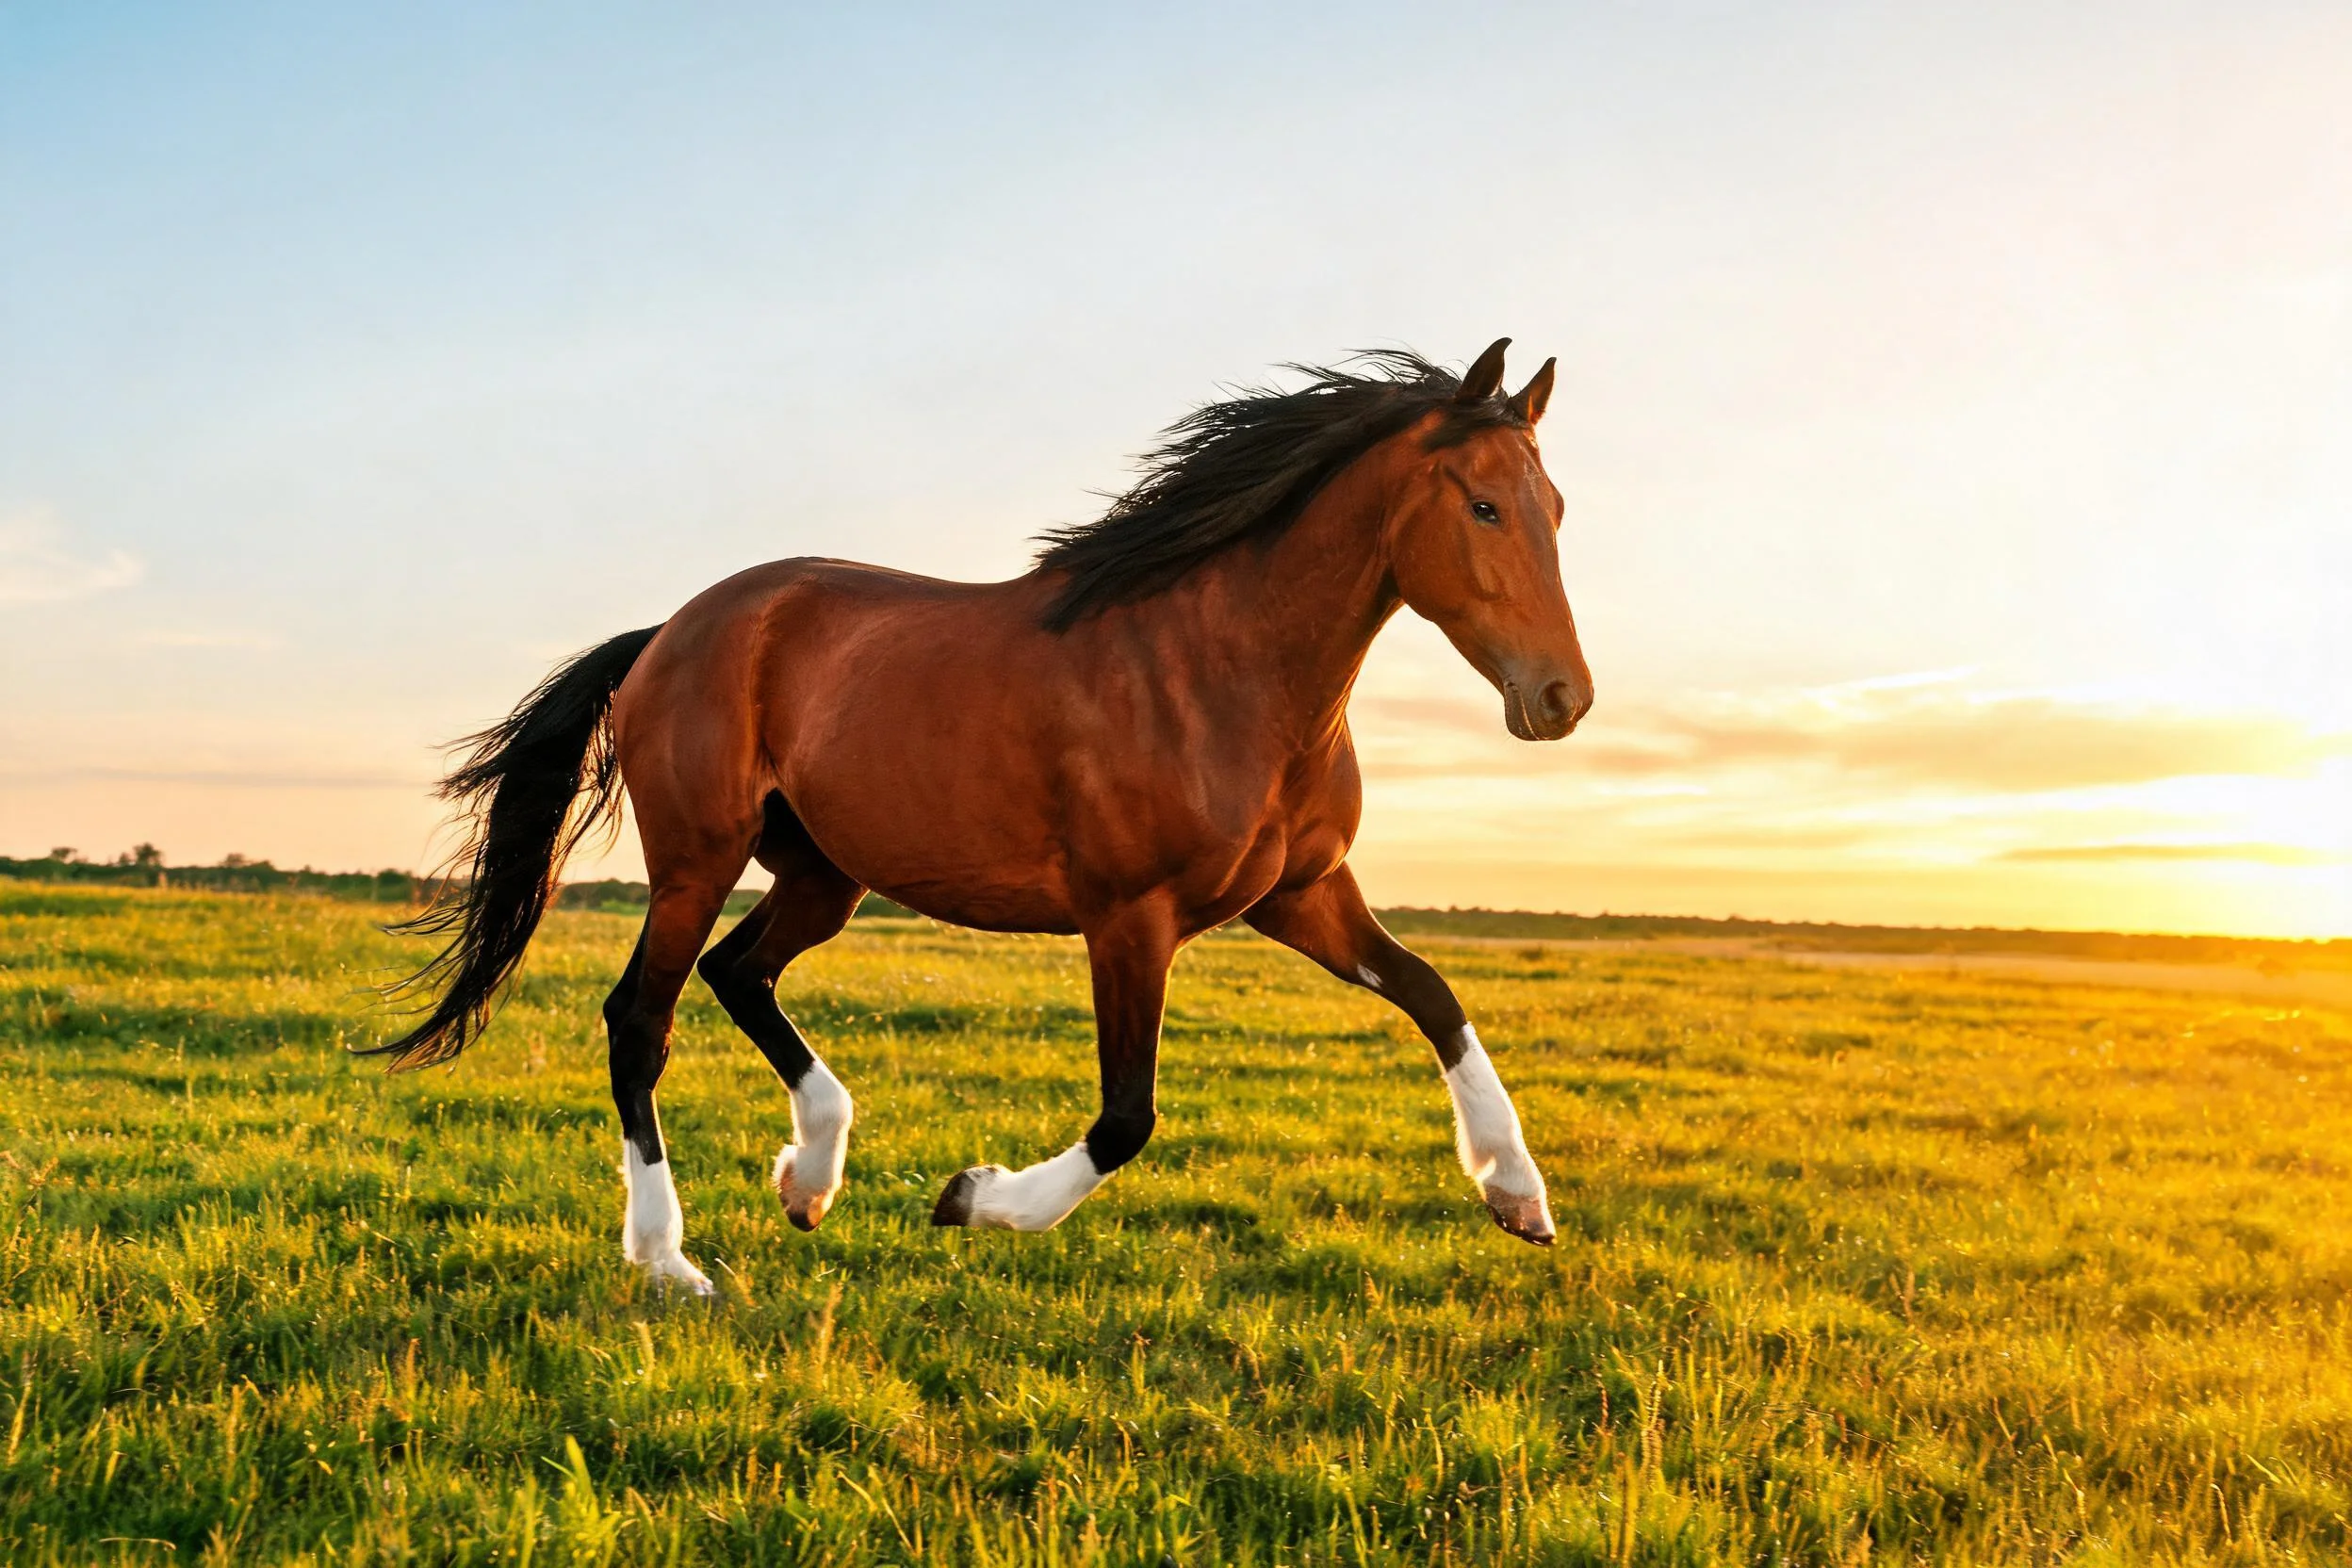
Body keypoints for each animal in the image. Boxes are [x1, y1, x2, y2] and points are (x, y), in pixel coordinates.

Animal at [375, 338, 1594, 1293]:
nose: (1562, 699)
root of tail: (668, 632)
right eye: (1483, 505)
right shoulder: (1130, 918)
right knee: (641, 1017)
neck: (1221, 669)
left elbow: (1436, 997)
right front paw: (976, 1197)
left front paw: (1519, 1194)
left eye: (1556, 509)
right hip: (696, 862)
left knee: (740, 973)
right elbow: (1127, 1115)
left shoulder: (1302, 893)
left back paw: (810, 1177)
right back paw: (670, 1258)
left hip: (823, 874)